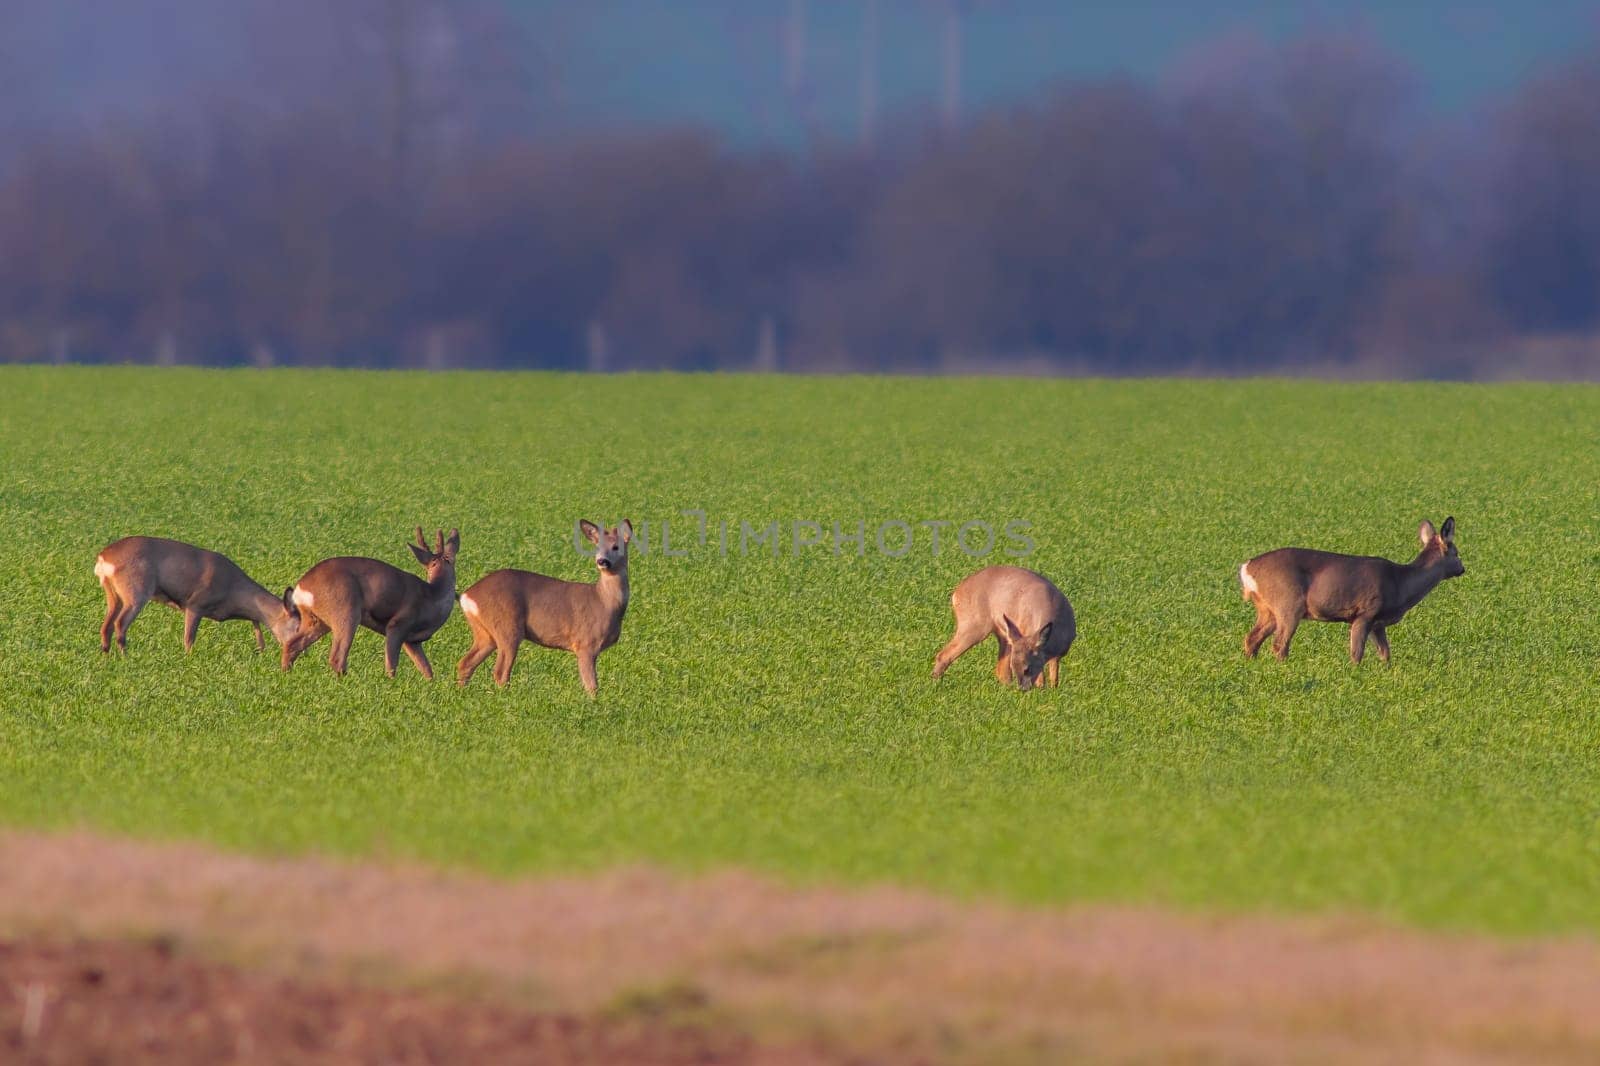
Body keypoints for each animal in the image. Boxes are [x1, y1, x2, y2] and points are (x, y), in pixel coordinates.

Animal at [92, 534, 300, 653]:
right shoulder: (195, 604)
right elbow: (189, 639)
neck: (233, 590)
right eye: (298, 626)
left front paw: (261, 650)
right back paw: (125, 656)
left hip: (114, 594)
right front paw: (189, 660)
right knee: (120, 624)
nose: (302, 650)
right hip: (136, 591)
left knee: (106, 626)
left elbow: (256, 625)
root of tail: (103, 557)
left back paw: (106, 655)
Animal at [280, 524, 457, 681]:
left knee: (292, 644)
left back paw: (287, 676)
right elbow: (391, 664)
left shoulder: (413, 641)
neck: (431, 595)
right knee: (337, 657)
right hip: (345, 611)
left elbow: (427, 670)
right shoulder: (398, 624)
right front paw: (391, 684)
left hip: (316, 620)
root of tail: (301, 587)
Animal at [457, 515, 630, 697]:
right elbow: (592, 686)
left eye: (616, 546)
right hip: (507, 627)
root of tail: (466, 596)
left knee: (465, 663)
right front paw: (594, 702)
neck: (604, 602)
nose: (602, 561)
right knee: (500, 671)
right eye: (597, 547)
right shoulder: (586, 643)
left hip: (485, 633)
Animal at [928, 563, 1075, 688]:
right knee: (944, 655)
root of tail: (956, 593)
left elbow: (1053, 676)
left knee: (1001, 671)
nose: (1023, 689)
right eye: (1016, 667)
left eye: (1026, 669)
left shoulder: (1057, 654)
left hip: (1004, 634)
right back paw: (936, 683)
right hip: (974, 625)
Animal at [1241, 515, 1465, 665]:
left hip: (1267, 609)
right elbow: (1356, 654)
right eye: (1456, 553)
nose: (1463, 569)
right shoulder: (1364, 613)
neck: (1400, 583)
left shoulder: (1378, 624)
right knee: (1279, 644)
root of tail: (1247, 567)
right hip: (1288, 604)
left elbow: (1385, 654)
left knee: (1252, 639)